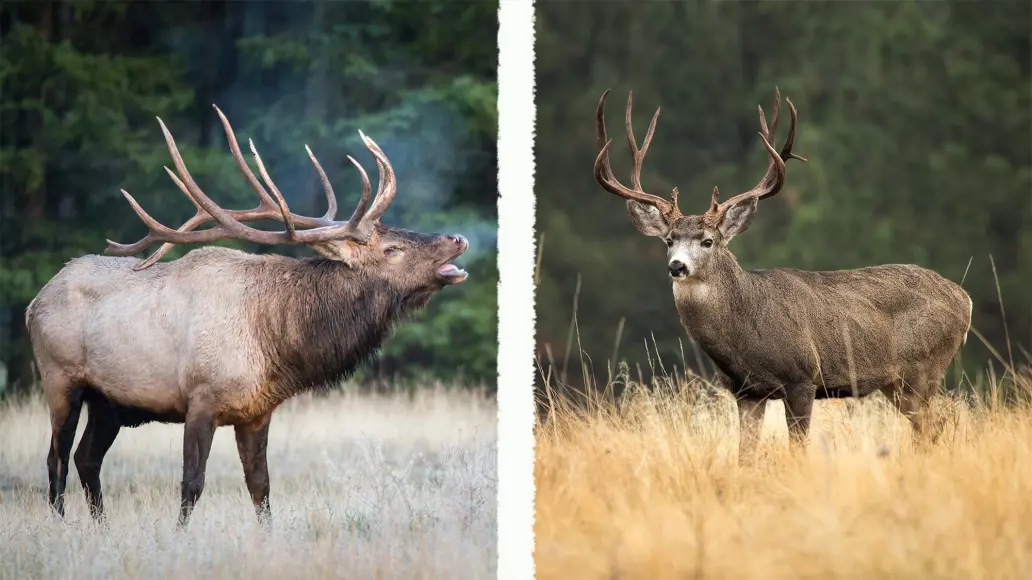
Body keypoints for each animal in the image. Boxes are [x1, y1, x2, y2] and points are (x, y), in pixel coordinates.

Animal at [27, 103, 472, 524]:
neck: (275, 342)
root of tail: (35, 302)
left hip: (109, 401)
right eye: (392, 248)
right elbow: (192, 484)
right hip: (60, 378)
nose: (458, 238)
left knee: (86, 458)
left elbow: (261, 486)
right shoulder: (201, 397)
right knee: (56, 459)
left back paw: (100, 526)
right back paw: (61, 525)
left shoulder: (257, 412)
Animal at [594, 88, 970, 454]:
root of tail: (964, 299)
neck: (744, 333)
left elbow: (798, 449)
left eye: (707, 241)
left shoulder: (803, 377)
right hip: (897, 382)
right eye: (669, 240)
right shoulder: (746, 391)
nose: (677, 266)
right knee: (929, 428)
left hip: (924, 367)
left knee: (933, 425)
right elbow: (744, 455)